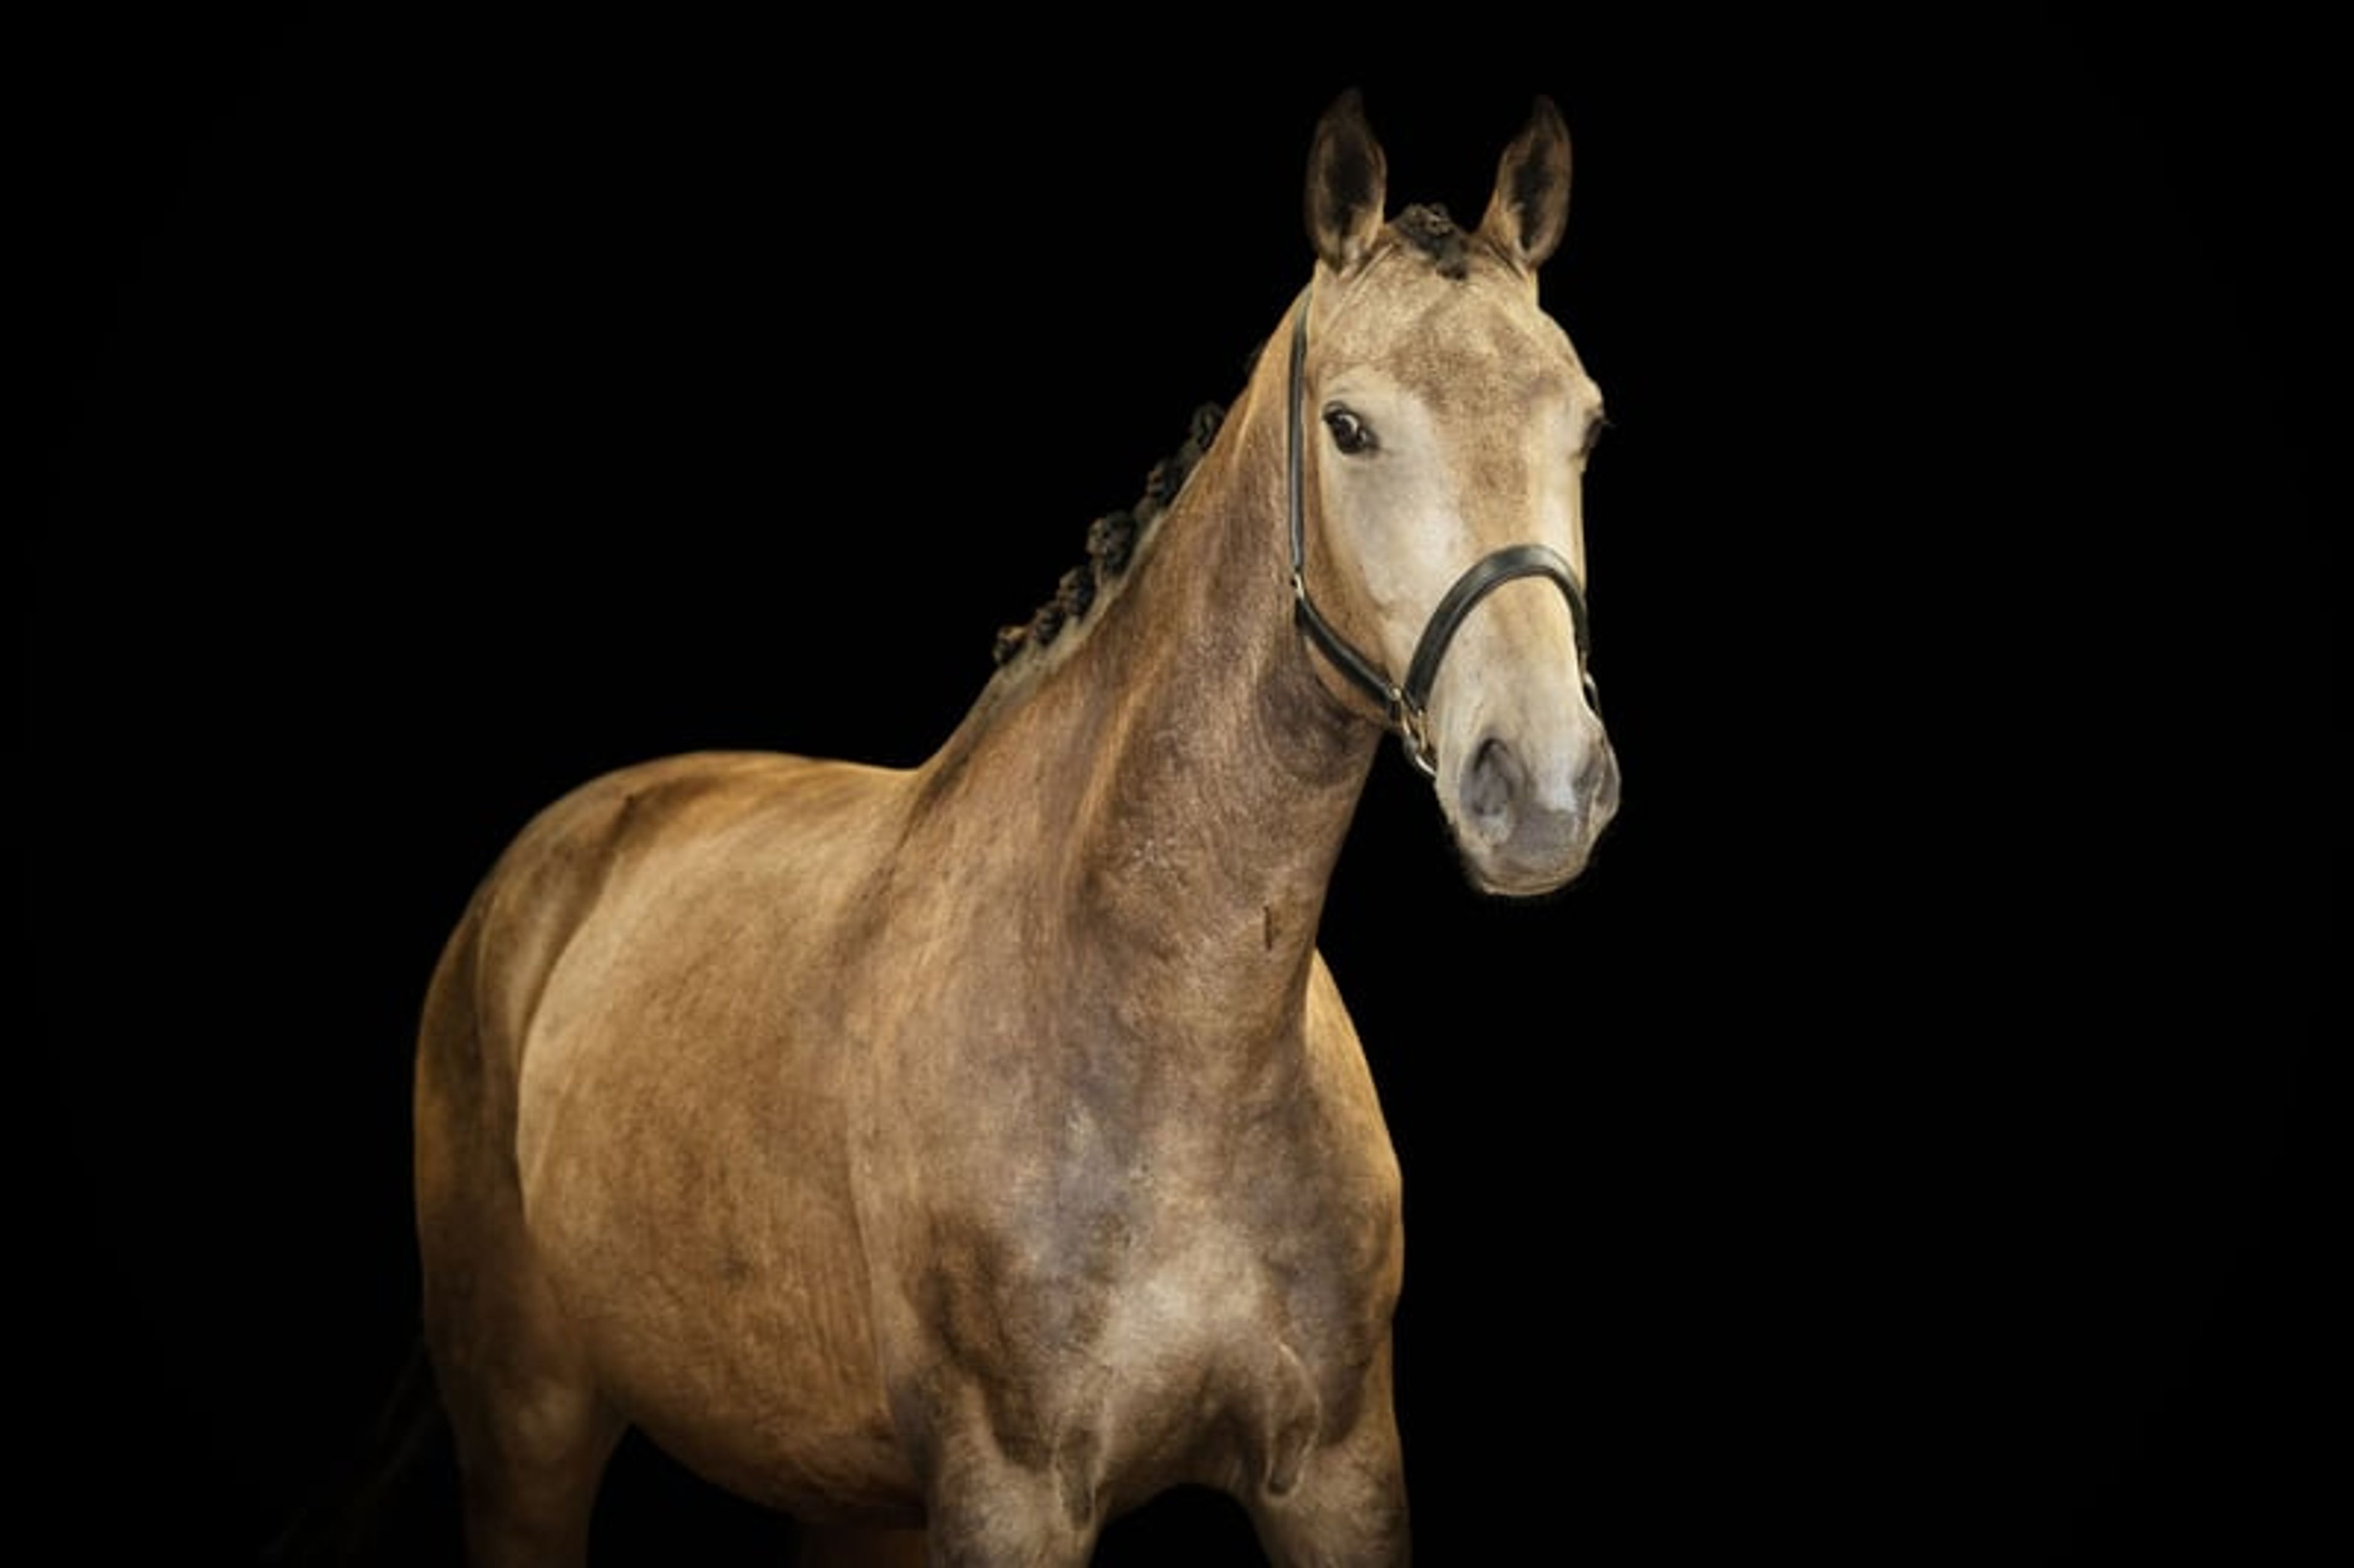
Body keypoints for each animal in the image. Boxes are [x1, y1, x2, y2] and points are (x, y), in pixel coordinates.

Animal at [413, 90, 1619, 1566]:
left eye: (1587, 427)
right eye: (1348, 427)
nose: (1543, 785)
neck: (1174, 1034)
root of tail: (552, 855)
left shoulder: (1339, 1473)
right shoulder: (1011, 1496)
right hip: (528, 1438)